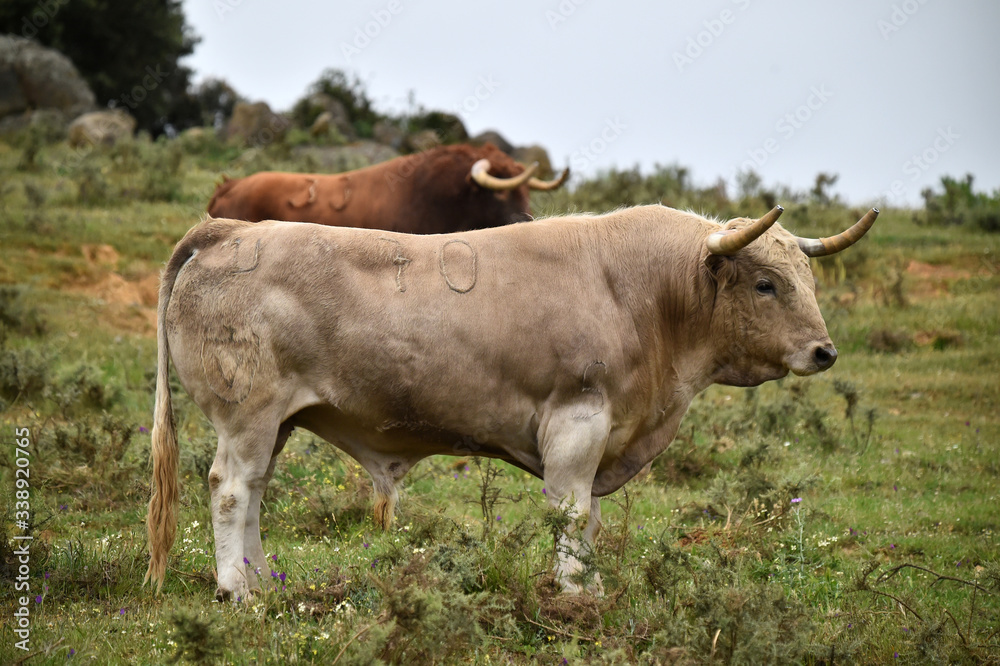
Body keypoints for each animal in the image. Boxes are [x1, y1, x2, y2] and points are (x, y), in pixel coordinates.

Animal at [145, 202, 880, 596]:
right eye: (765, 283)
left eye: (808, 276)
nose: (824, 351)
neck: (641, 294)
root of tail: (229, 228)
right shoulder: (577, 422)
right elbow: (571, 514)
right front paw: (576, 594)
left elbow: (586, 521)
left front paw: (590, 587)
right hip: (247, 417)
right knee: (231, 490)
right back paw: (237, 589)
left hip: (276, 424)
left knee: (255, 494)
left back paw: (263, 579)